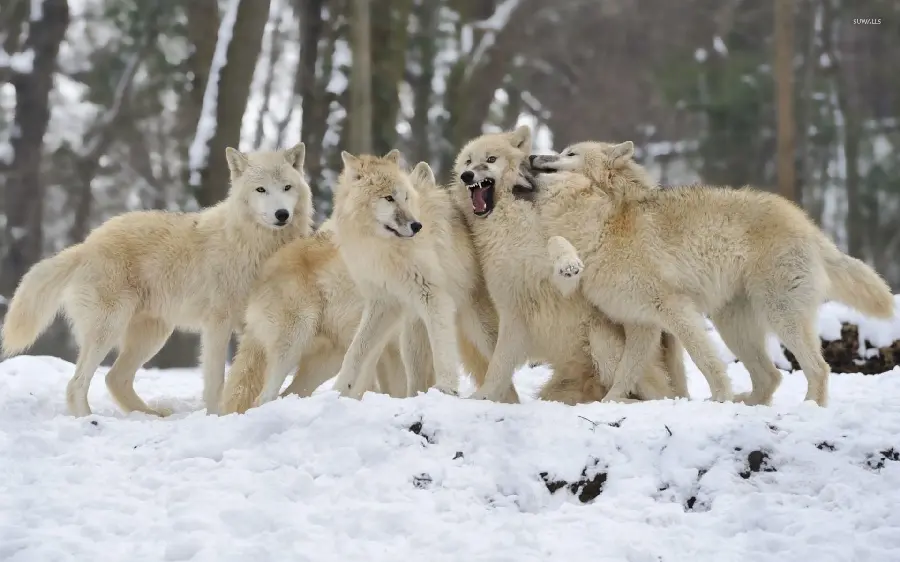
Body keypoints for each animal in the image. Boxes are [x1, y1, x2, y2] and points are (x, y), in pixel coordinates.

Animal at [1, 144, 312, 416]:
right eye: (261, 190)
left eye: (287, 187)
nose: (282, 214)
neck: (254, 245)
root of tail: (84, 245)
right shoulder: (217, 324)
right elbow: (216, 381)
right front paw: (216, 417)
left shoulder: (256, 325)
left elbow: (248, 377)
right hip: (109, 330)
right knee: (76, 384)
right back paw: (89, 421)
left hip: (152, 336)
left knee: (114, 378)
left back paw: (150, 416)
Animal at [528, 139, 892, 402]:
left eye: (569, 153)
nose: (531, 156)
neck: (604, 225)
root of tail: (809, 226)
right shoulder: (641, 324)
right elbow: (624, 374)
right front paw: (608, 405)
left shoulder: (675, 310)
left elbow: (704, 361)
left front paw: (719, 397)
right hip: (733, 326)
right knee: (770, 376)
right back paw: (748, 405)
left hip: (779, 315)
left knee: (818, 369)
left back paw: (807, 409)